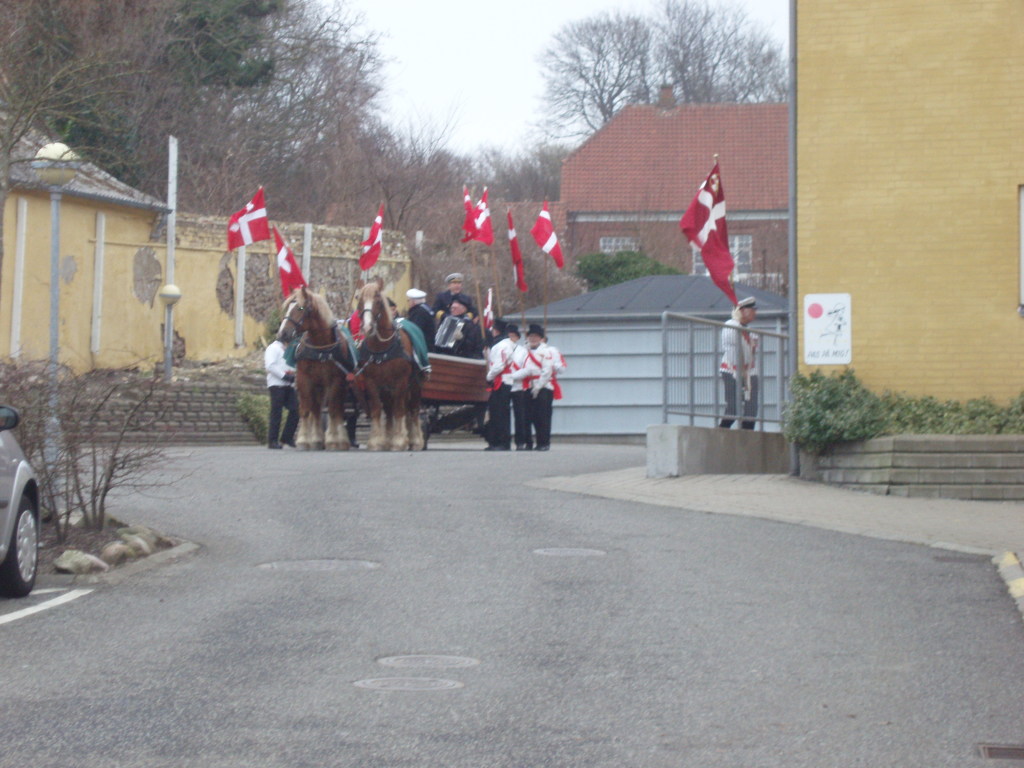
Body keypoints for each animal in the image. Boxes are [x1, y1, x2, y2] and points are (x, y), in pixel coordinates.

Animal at [276, 287, 354, 451]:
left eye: (300, 308)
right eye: (287, 307)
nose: (282, 334)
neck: (320, 348)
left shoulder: (336, 381)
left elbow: (333, 410)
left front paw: (333, 440)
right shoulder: (304, 379)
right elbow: (306, 410)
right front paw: (304, 440)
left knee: (336, 409)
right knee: (317, 410)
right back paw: (317, 438)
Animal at [355, 281, 425, 451]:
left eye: (378, 301)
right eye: (360, 300)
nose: (367, 327)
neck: (382, 347)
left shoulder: (400, 381)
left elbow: (399, 410)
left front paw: (399, 441)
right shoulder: (372, 382)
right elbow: (377, 409)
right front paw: (377, 441)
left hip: (414, 384)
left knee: (413, 409)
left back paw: (415, 440)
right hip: (387, 388)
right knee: (389, 409)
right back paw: (389, 438)